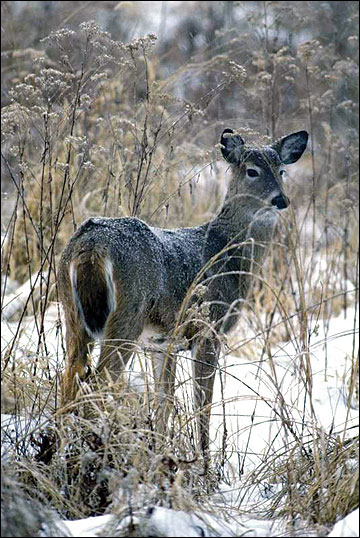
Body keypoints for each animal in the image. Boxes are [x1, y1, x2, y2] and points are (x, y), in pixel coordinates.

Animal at [57, 127, 308, 462]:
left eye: (281, 171)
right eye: (252, 171)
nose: (280, 200)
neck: (230, 253)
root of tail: (92, 245)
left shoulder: (162, 342)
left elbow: (164, 399)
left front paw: (160, 449)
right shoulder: (209, 328)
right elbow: (203, 403)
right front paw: (205, 461)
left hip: (72, 311)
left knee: (69, 378)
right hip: (127, 313)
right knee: (97, 382)